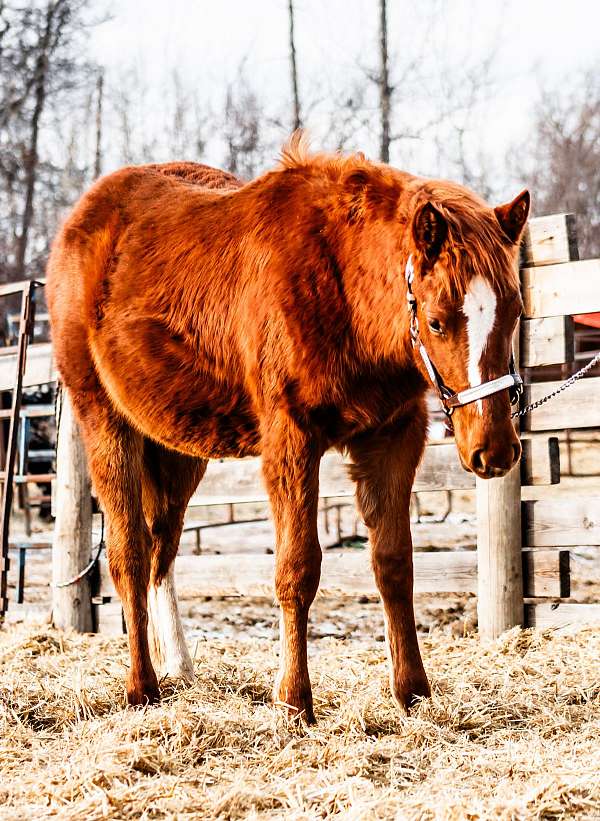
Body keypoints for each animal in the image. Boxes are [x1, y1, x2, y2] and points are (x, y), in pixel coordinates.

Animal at [49, 135, 532, 716]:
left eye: (514, 311)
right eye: (437, 321)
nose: (494, 451)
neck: (342, 287)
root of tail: (80, 220)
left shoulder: (393, 436)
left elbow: (394, 563)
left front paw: (412, 693)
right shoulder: (292, 441)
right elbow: (298, 569)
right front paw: (295, 701)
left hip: (178, 448)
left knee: (162, 547)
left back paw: (179, 668)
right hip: (106, 424)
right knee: (130, 556)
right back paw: (142, 687)